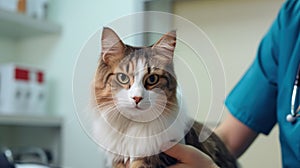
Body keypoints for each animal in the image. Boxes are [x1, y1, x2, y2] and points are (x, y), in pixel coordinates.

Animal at [92, 26, 238, 167]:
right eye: (123, 78)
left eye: (152, 79)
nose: (137, 98)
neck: (134, 125)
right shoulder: (119, 159)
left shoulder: (157, 157)